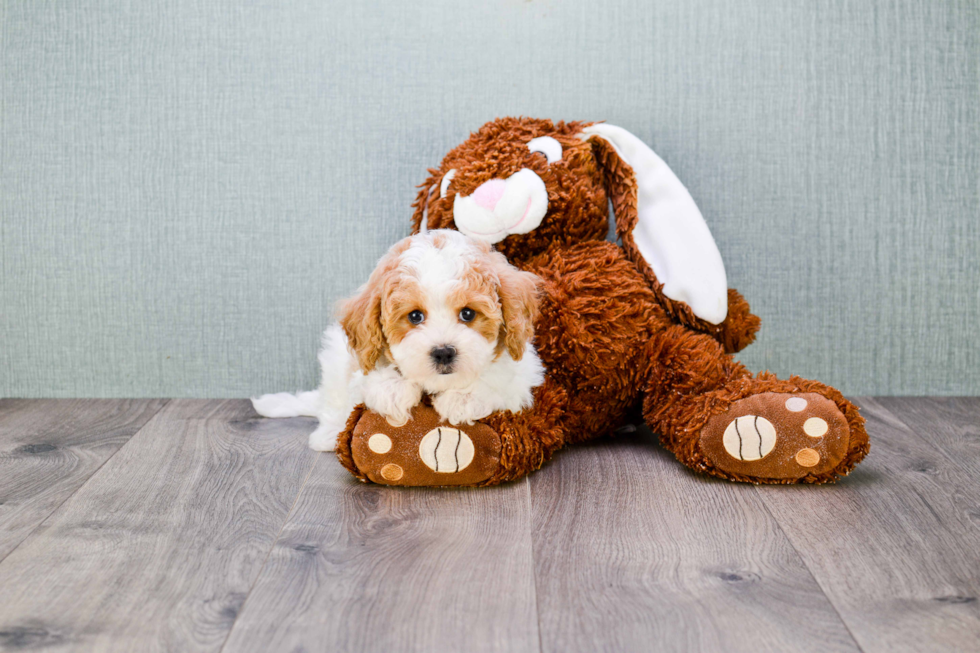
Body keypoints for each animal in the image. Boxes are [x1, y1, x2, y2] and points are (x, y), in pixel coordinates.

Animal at [251, 228, 544, 448]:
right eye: (415, 316)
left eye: (468, 313)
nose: (443, 352)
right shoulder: (359, 361)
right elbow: (369, 376)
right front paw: (393, 389)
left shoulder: (524, 373)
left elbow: (499, 377)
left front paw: (463, 398)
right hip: (335, 357)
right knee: (333, 403)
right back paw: (327, 436)